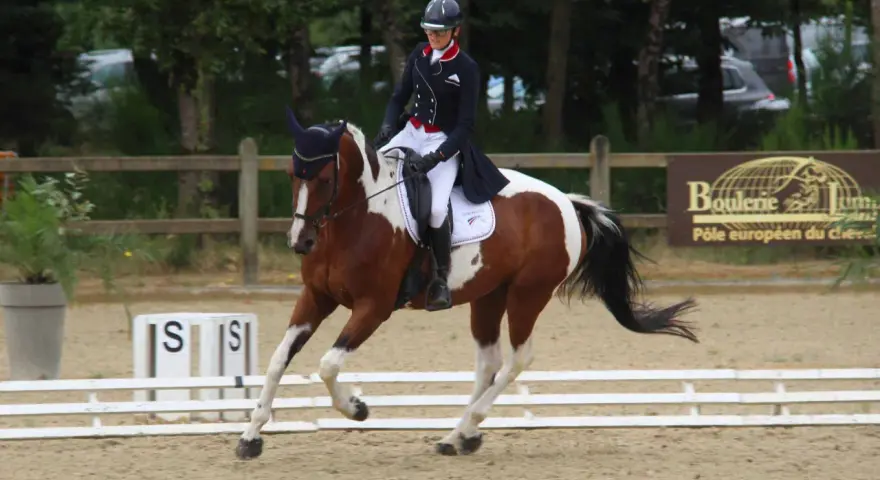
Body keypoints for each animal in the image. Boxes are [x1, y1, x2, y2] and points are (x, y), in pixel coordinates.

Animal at [234, 108, 698, 460]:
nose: (300, 242)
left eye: (325, 180)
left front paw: (357, 408)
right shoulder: (316, 298)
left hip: (528, 294)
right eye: (293, 176)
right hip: (489, 296)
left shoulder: (374, 307)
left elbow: (328, 364)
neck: (358, 218)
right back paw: (458, 436)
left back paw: (469, 425)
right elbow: (277, 360)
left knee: (518, 358)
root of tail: (567, 201)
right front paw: (251, 437)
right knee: (489, 362)